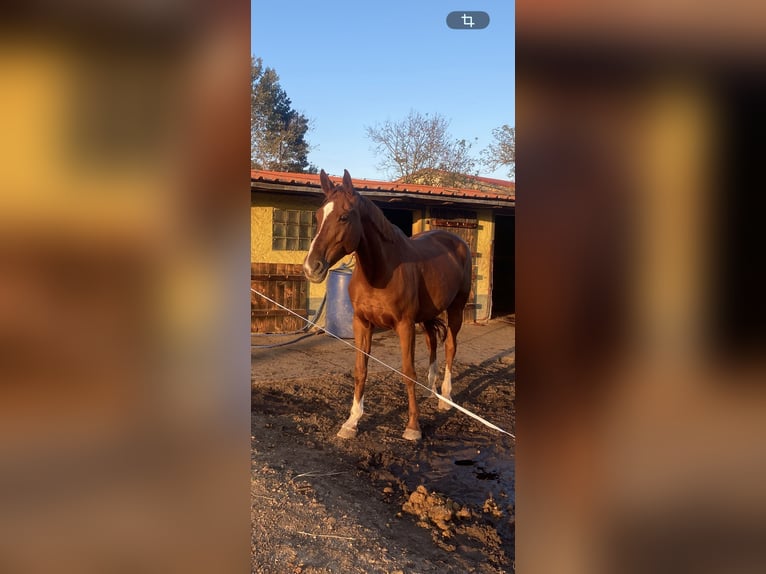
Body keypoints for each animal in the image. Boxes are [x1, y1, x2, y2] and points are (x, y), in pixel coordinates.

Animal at [303, 169, 472, 441]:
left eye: (343, 217)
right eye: (318, 216)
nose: (311, 267)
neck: (381, 270)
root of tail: (457, 241)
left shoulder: (404, 325)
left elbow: (408, 372)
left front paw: (413, 426)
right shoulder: (362, 323)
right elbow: (360, 370)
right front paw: (351, 422)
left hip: (456, 309)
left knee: (450, 347)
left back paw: (445, 397)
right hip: (427, 315)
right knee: (432, 342)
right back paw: (432, 389)